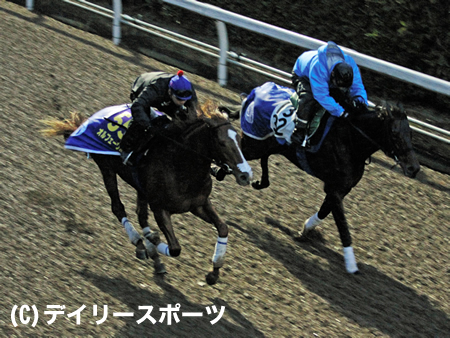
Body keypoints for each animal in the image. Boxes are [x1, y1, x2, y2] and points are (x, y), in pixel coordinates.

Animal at [41, 101, 253, 286]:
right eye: (222, 143)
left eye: (240, 140)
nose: (246, 175)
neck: (180, 163)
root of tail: (89, 119)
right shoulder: (160, 208)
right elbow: (175, 248)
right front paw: (153, 240)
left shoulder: (199, 204)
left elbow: (223, 228)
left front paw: (214, 272)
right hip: (106, 168)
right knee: (118, 208)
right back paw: (140, 243)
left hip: (140, 188)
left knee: (141, 215)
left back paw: (153, 256)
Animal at [221, 82, 418, 274]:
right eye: (394, 133)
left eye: (410, 133)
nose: (414, 168)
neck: (351, 141)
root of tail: (255, 92)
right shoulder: (334, 188)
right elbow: (343, 226)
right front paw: (351, 264)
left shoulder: (342, 189)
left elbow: (324, 212)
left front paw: (304, 232)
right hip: (254, 144)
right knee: (239, 156)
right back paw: (222, 171)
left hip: (269, 145)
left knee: (261, 159)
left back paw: (259, 182)